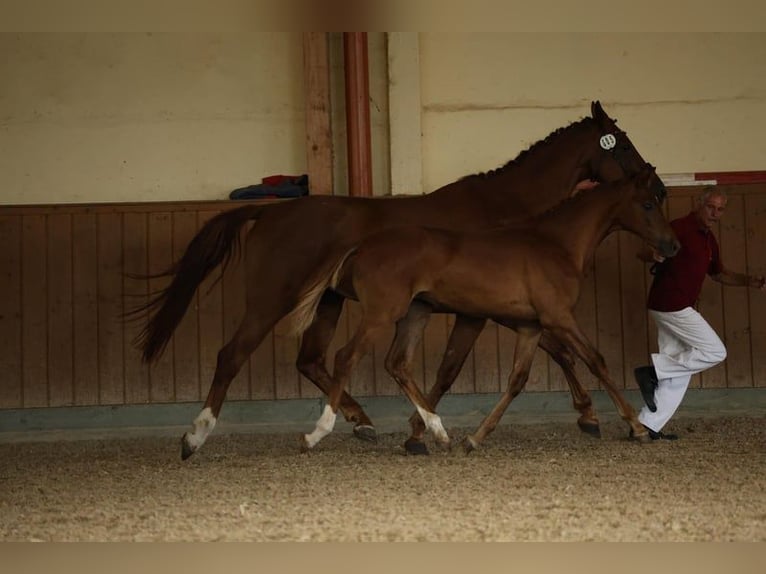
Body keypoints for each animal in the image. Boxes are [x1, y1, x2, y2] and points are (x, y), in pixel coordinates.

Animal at [296, 167, 680, 451]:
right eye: (648, 204)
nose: (671, 246)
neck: (555, 244)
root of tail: (361, 246)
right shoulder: (559, 318)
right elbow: (596, 361)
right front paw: (636, 427)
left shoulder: (531, 326)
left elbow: (517, 380)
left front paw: (474, 438)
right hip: (382, 314)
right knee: (346, 357)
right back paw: (319, 433)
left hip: (415, 314)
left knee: (397, 363)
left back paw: (438, 431)